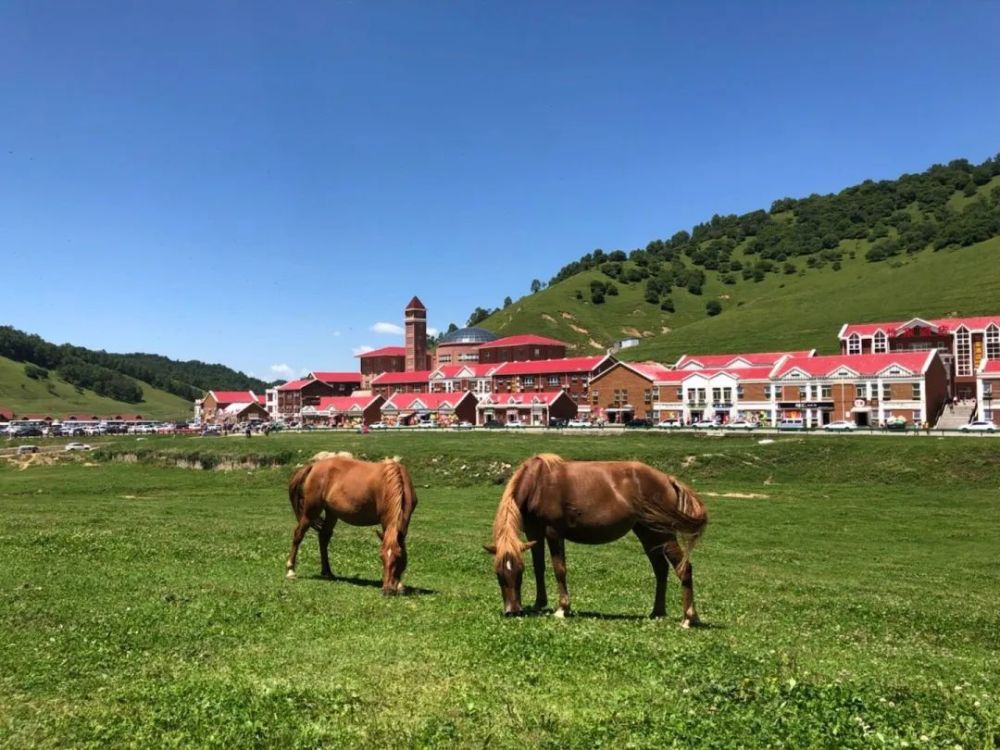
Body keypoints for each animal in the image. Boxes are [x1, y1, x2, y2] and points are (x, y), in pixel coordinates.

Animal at [286, 456, 418, 596]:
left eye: (398, 557)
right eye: (381, 557)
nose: (387, 590)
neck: (391, 481)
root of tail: (313, 466)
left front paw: (399, 585)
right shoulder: (385, 520)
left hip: (331, 513)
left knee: (323, 537)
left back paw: (327, 572)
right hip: (311, 510)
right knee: (298, 534)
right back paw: (290, 570)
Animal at [482, 456, 704, 624]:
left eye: (518, 573)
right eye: (499, 574)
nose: (513, 611)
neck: (538, 483)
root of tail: (667, 479)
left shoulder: (554, 532)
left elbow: (559, 569)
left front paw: (562, 609)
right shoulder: (533, 532)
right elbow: (539, 567)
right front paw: (539, 603)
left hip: (663, 534)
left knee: (683, 567)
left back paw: (688, 618)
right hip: (648, 532)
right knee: (661, 569)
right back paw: (657, 612)